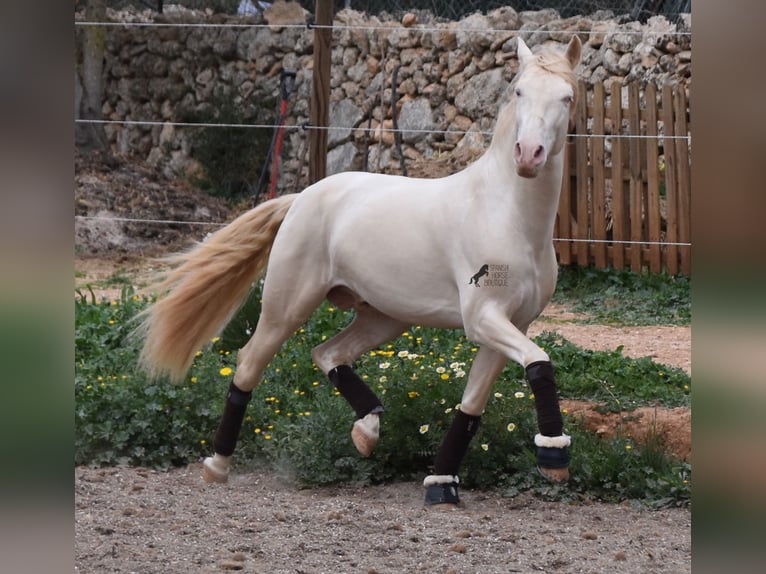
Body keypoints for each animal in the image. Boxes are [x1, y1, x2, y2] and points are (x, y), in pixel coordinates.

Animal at [136, 36, 582, 506]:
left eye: (566, 98)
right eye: (519, 92)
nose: (528, 155)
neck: (506, 216)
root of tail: (301, 197)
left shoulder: (511, 325)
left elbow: (474, 404)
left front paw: (442, 485)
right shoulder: (483, 318)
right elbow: (540, 363)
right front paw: (554, 457)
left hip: (384, 318)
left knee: (328, 354)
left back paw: (367, 431)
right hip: (287, 307)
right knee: (247, 364)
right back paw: (217, 466)